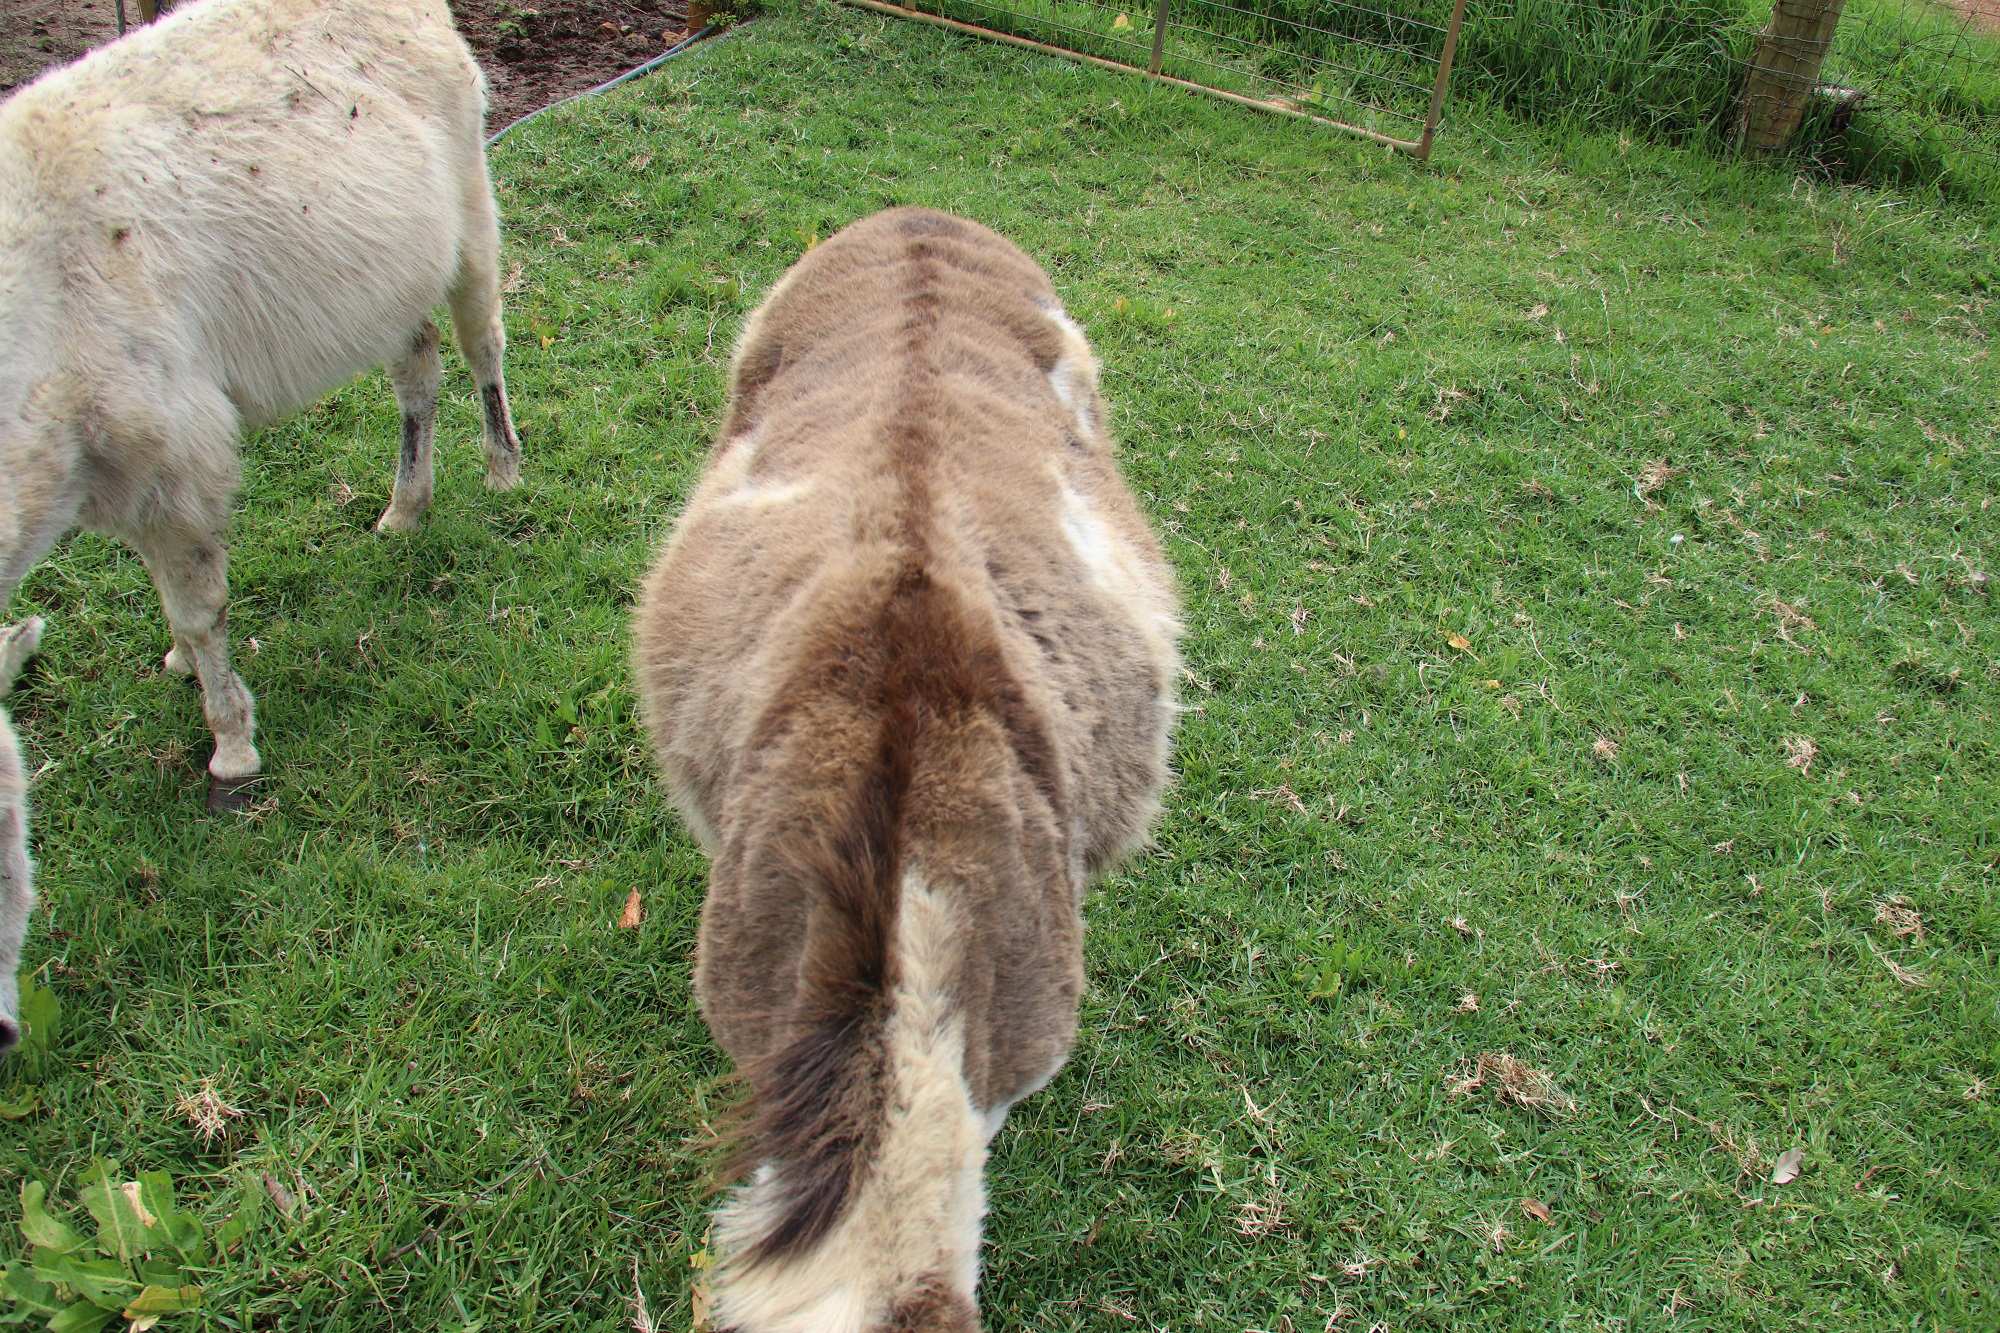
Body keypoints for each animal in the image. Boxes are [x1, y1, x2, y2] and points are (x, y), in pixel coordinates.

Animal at [0, 0, 522, 1051]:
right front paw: (177, 664)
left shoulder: (170, 446)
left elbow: (200, 605)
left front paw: (230, 748)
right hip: (391, 268)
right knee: (416, 369)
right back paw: (405, 508)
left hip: (468, 204)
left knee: (482, 340)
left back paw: (501, 467)